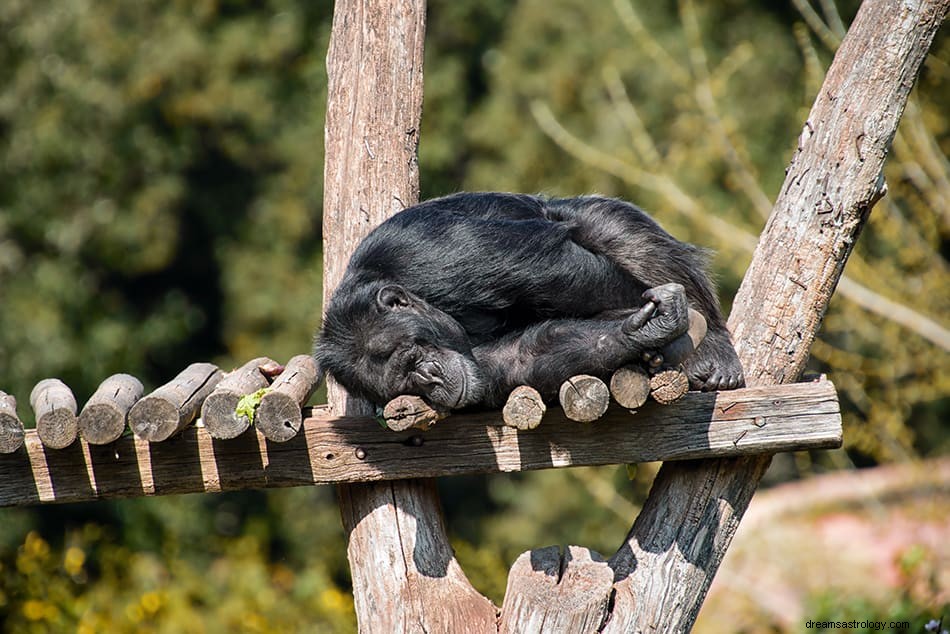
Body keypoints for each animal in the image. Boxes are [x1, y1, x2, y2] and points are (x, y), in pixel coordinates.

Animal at [316, 193, 748, 408]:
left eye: (410, 355)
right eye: (403, 383)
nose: (428, 377)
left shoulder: (431, 254)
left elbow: (558, 269)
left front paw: (673, 331)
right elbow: (522, 357)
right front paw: (637, 333)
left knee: (612, 227)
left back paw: (713, 348)